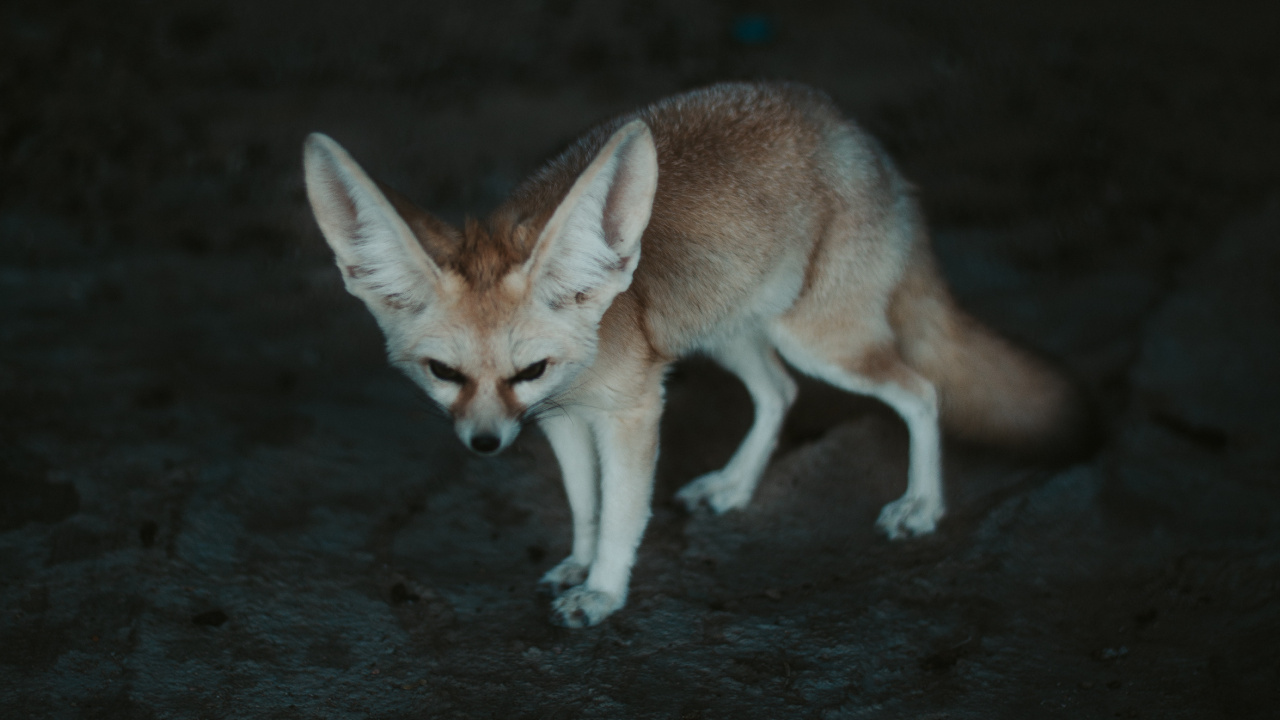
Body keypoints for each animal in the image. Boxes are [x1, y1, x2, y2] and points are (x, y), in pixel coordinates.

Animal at [302, 82, 1086, 628]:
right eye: (444, 374)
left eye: (530, 369)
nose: (484, 444)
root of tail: (864, 141)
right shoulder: (561, 419)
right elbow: (584, 504)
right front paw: (579, 563)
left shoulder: (630, 411)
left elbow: (622, 510)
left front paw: (604, 590)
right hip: (734, 334)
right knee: (780, 394)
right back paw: (735, 486)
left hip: (818, 341)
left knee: (921, 391)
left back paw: (922, 505)